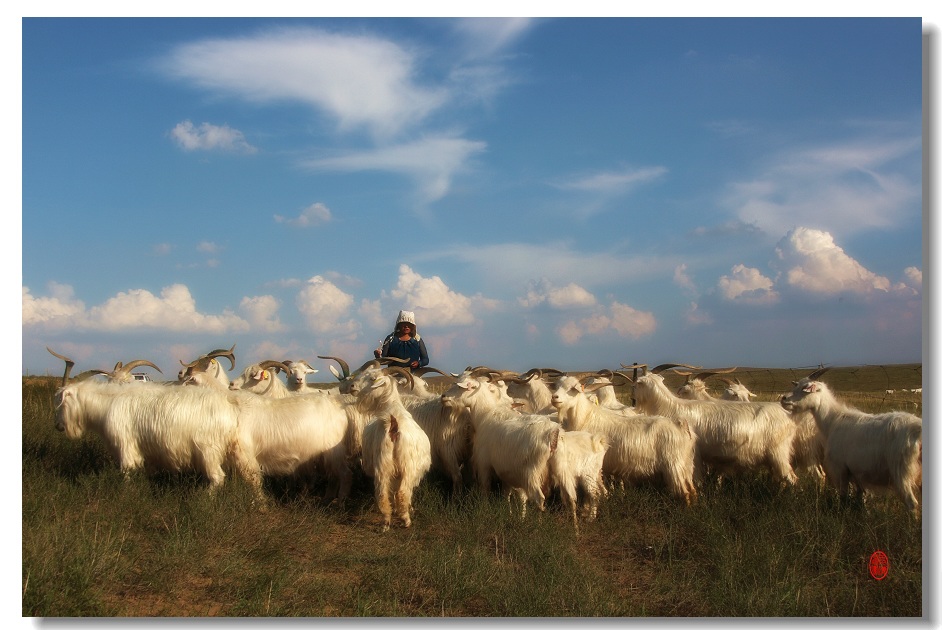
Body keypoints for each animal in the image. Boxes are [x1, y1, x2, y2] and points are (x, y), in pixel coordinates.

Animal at [552, 378, 700, 506]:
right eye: (557, 385)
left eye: (573, 388)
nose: (554, 398)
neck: (587, 418)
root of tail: (681, 425)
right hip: (686, 465)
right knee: (692, 491)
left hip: (674, 466)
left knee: (685, 493)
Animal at [780, 368, 924, 516]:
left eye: (805, 388)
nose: (783, 399)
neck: (833, 420)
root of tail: (918, 432)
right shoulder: (857, 473)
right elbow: (859, 498)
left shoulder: (840, 469)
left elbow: (843, 497)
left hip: (902, 473)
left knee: (912, 504)